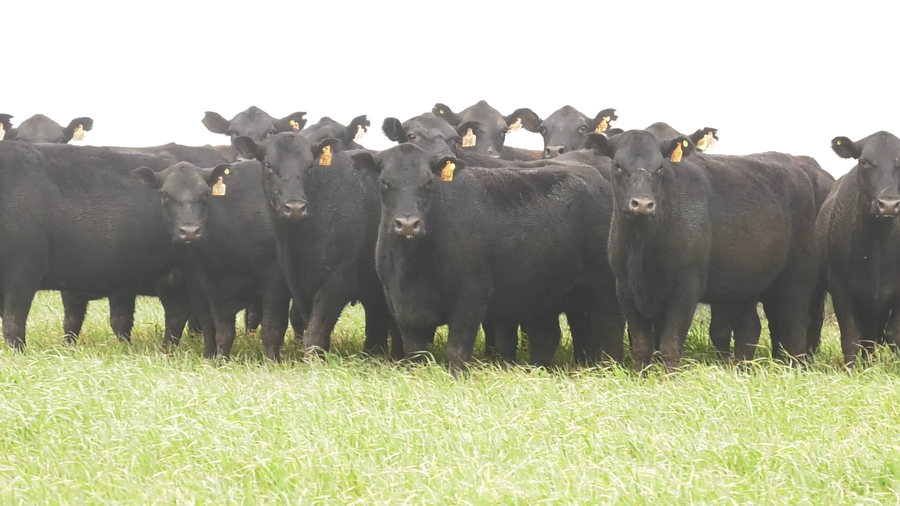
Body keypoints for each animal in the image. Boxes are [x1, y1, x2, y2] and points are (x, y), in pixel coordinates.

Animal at [132, 160, 293, 360]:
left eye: (205, 194)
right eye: (164, 194)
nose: (190, 231)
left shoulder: (275, 281)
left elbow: (272, 330)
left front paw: (272, 361)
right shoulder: (209, 285)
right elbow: (222, 332)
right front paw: (219, 360)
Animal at [232, 132, 402, 359]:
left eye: (310, 165)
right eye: (268, 165)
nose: (295, 207)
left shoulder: (337, 281)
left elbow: (315, 333)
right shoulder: (298, 286)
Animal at [351, 143, 623, 374]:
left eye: (428, 182)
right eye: (385, 182)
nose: (408, 224)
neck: (411, 271)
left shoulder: (471, 296)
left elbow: (457, 351)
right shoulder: (398, 303)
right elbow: (414, 354)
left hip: (603, 289)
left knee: (610, 329)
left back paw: (612, 369)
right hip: (542, 293)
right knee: (547, 337)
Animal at [594, 130, 818, 371]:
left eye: (660, 167)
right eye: (617, 165)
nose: (643, 204)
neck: (641, 247)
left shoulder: (686, 288)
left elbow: (670, 344)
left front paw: (669, 377)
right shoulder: (625, 289)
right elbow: (643, 346)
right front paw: (641, 376)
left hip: (796, 277)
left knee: (794, 325)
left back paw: (793, 368)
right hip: (744, 284)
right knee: (750, 329)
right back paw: (742, 369)